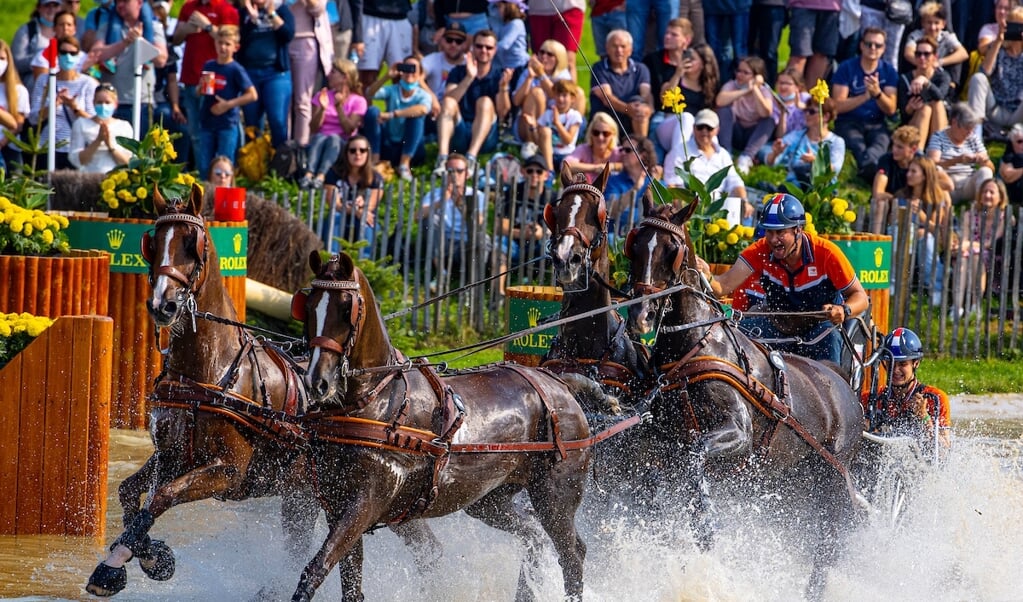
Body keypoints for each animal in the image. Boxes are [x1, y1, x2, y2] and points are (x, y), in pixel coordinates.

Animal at [85, 185, 433, 597]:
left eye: (192, 243)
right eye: (152, 244)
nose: (162, 305)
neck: (211, 371)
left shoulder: (228, 471)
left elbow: (162, 496)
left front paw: (118, 566)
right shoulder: (170, 457)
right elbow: (131, 493)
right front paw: (149, 555)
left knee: (425, 547)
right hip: (310, 497)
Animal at [290, 251, 593, 597]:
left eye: (345, 309)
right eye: (308, 307)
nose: (317, 383)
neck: (379, 400)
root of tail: (560, 384)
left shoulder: (365, 501)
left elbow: (315, 570)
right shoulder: (336, 502)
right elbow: (350, 584)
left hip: (555, 497)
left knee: (571, 555)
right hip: (489, 499)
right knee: (534, 535)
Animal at [621, 198, 863, 597]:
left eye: (672, 250)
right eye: (635, 245)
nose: (641, 316)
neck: (696, 345)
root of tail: (843, 383)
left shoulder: (738, 433)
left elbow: (694, 457)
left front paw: (703, 522)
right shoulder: (658, 440)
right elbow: (651, 477)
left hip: (831, 480)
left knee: (827, 545)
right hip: (790, 482)